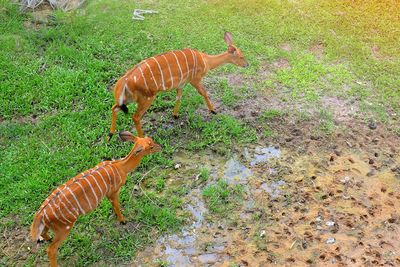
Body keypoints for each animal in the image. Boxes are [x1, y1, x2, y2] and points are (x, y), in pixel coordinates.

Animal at [30, 133, 160, 267]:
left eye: (150, 140)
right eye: (150, 146)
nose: (159, 147)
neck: (120, 166)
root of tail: (41, 213)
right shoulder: (113, 192)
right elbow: (117, 206)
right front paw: (123, 221)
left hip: (51, 226)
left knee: (43, 234)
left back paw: (47, 238)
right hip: (64, 228)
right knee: (51, 249)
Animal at [108, 31, 248, 140]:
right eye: (241, 57)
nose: (247, 64)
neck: (206, 61)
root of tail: (124, 81)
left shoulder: (180, 84)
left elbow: (179, 97)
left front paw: (175, 115)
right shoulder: (195, 80)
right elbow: (204, 92)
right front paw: (213, 110)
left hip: (129, 99)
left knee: (115, 108)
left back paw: (110, 135)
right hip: (147, 98)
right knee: (135, 117)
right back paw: (142, 139)